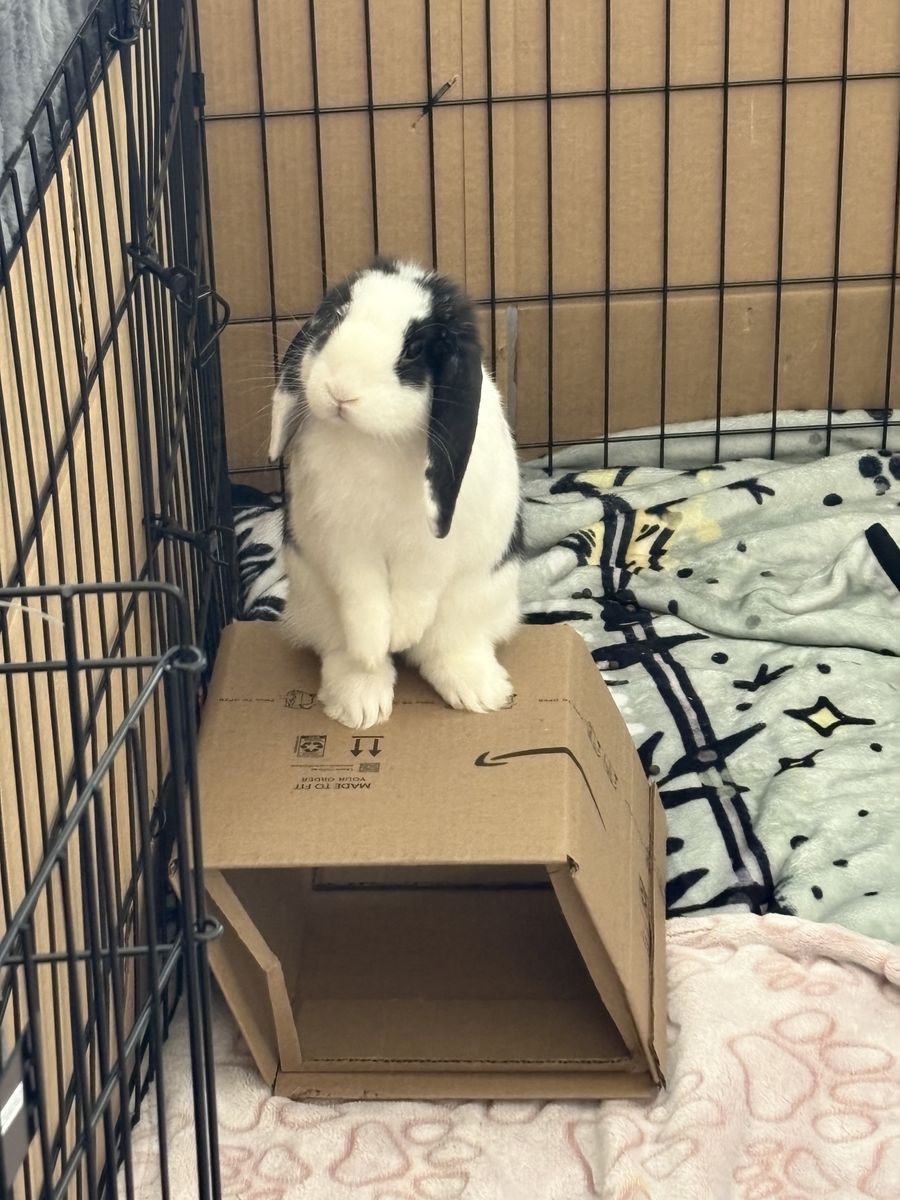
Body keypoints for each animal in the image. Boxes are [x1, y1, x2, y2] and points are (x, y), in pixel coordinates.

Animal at [268, 257, 523, 731]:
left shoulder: (433, 545)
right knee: (339, 649)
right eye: (333, 320)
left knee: (448, 646)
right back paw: (361, 703)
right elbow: (363, 599)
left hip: (482, 596)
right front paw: (377, 646)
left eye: (414, 350)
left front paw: (401, 632)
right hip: (313, 600)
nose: (340, 392)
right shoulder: (345, 542)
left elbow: (419, 587)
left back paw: (479, 693)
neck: (375, 441)